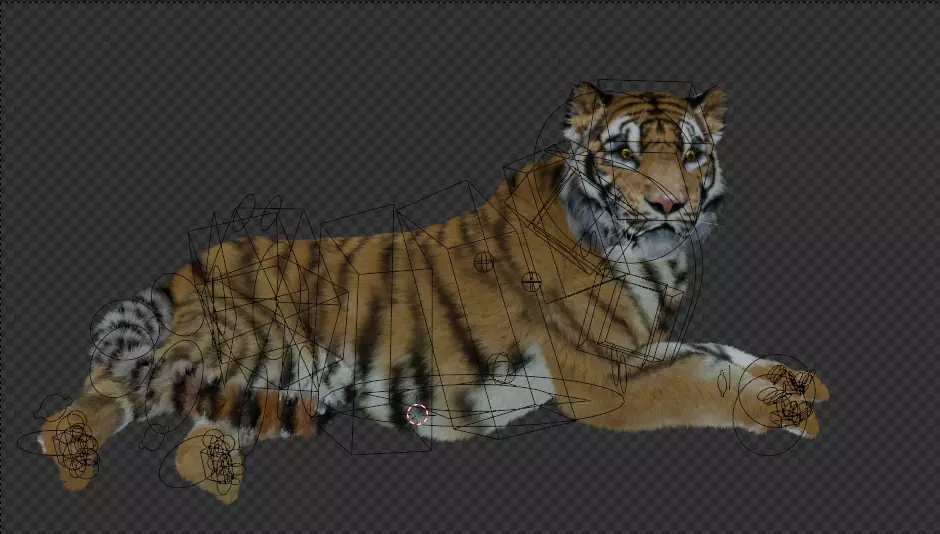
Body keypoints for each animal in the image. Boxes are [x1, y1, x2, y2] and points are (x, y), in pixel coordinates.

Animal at [36, 82, 829, 504]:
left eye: (691, 153)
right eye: (626, 154)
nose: (670, 206)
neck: (653, 259)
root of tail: (199, 258)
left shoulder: (640, 347)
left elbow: (720, 352)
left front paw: (798, 381)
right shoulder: (605, 376)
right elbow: (705, 380)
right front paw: (784, 407)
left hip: (265, 382)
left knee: (193, 445)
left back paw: (225, 472)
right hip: (259, 342)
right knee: (110, 386)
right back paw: (69, 449)